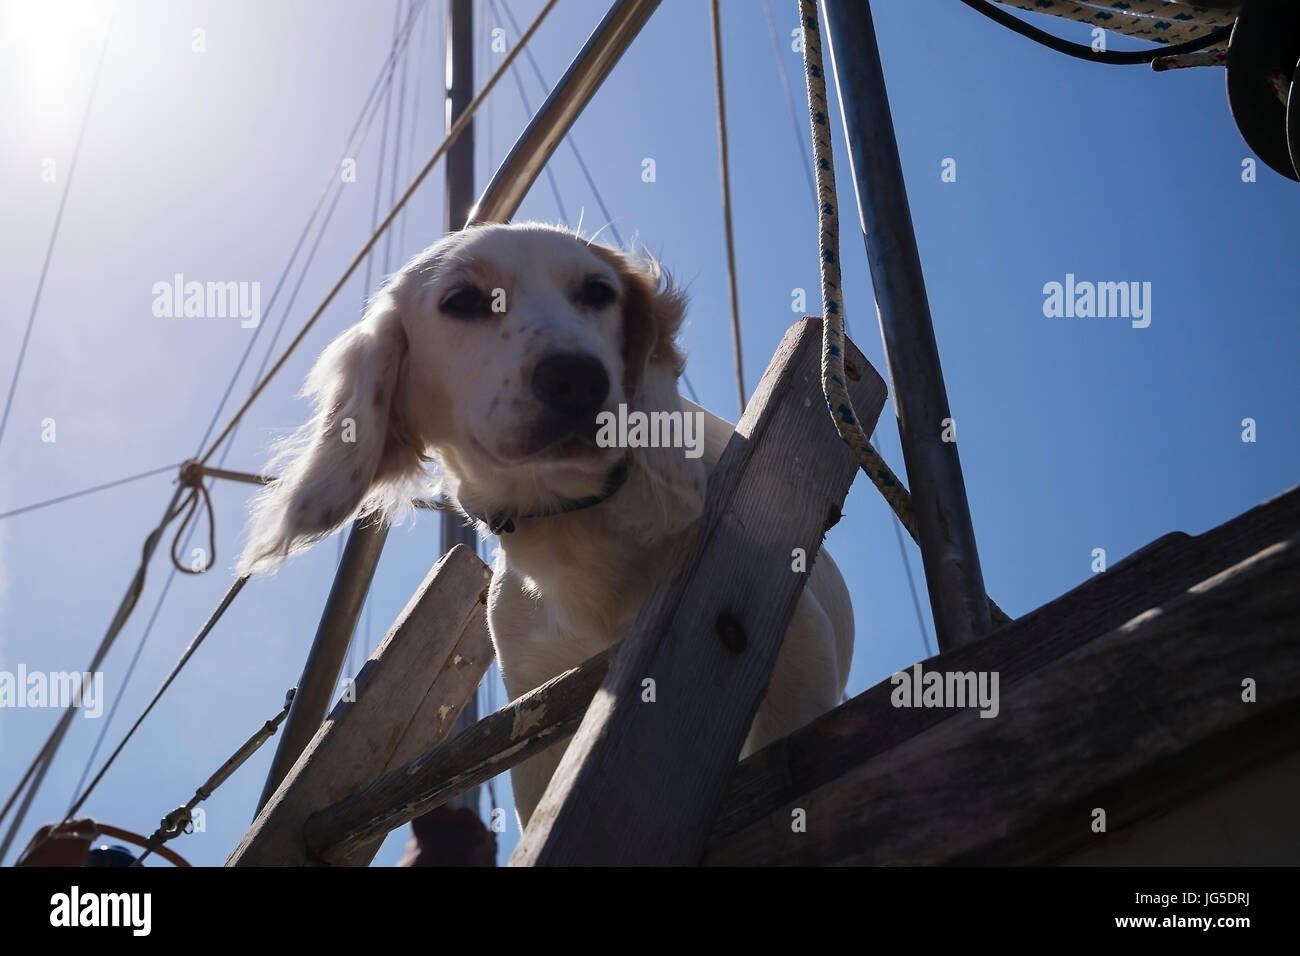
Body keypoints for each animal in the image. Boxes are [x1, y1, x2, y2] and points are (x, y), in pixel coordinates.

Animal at [239, 222, 852, 832]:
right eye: (463, 300)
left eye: (599, 293)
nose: (578, 379)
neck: (575, 526)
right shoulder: (537, 711)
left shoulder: (795, 651)